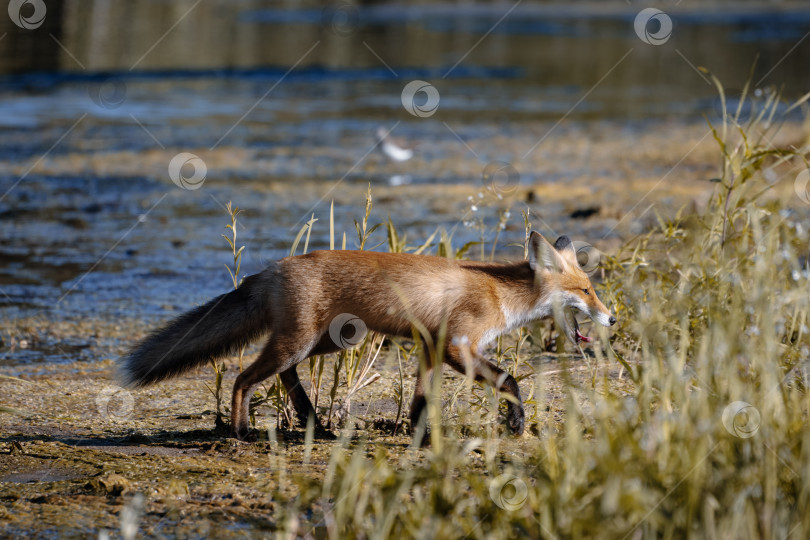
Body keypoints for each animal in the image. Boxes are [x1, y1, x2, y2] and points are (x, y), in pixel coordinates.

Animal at [118, 230, 612, 440]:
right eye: (587, 290)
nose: (611, 319)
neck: (499, 293)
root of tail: (271, 269)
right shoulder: (457, 345)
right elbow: (510, 380)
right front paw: (517, 423)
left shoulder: (430, 348)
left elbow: (420, 402)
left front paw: (418, 436)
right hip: (302, 341)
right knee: (243, 378)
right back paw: (241, 433)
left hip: (328, 341)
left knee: (285, 376)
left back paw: (316, 426)